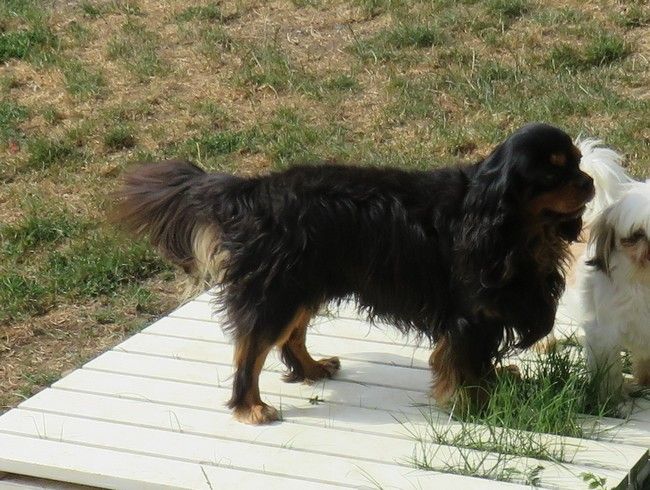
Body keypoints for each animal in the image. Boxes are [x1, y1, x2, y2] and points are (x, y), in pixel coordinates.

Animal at [114, 123, 594, 424]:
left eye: (577, 161)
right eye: (551, 172)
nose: (589, 183)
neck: (507, 224)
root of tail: (254, 190)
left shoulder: (488, 317)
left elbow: (478, 361)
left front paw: (493, 385)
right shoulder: (469, 316)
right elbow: (462, 364)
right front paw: (474, 405)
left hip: (305, 284)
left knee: (291, 337)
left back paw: (311, 368)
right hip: (277, 291)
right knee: (249, 351)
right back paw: (250, 407)